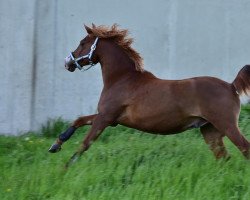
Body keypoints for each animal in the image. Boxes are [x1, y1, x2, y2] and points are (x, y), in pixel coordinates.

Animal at [47, 23, 249, 167]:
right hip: (210, 131)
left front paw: (64, 169)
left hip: (227, 125)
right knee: (224, 158)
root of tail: (231, 86)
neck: (123, 79)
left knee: (244, 148)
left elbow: (84, 144)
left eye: (83, 43)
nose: (67, 62)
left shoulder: (105, 118)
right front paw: (55, 145)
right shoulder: (111, 119)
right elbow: (79, 120)